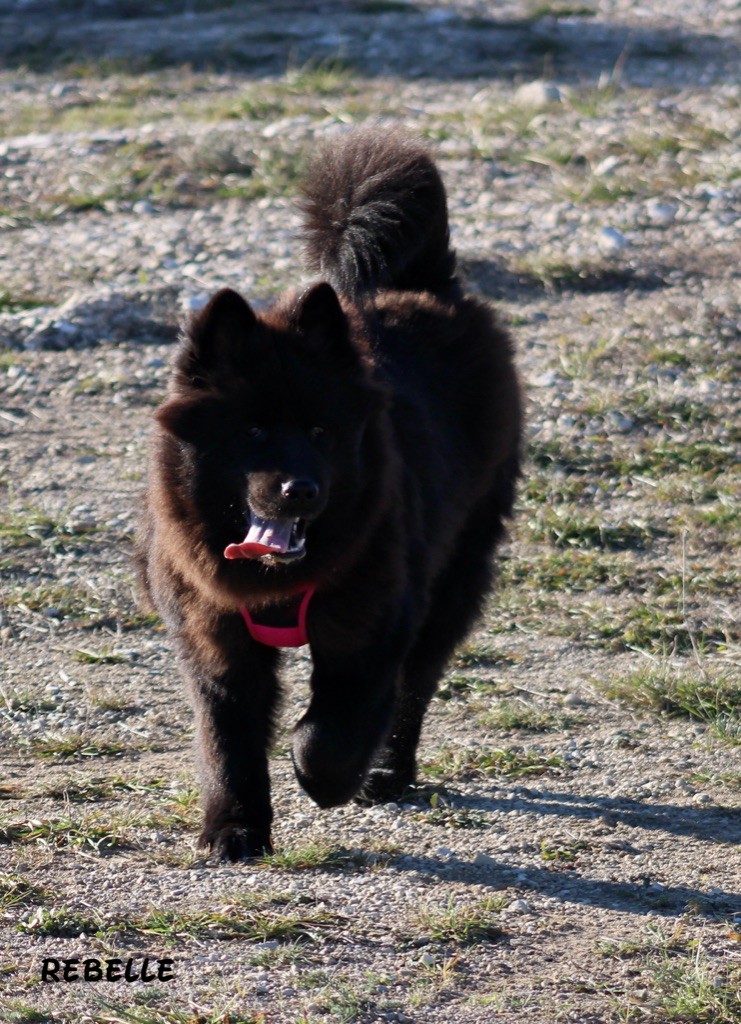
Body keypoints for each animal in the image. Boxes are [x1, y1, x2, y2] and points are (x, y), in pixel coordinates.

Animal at [137, 125, 521, 856]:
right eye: (254, 429)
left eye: (320, 430)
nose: (301, 489)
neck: (275, 582)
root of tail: (423, 286)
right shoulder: (215, 638)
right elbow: (226, 741)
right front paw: (234, 830)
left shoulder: (369, 626)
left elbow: (333, 729)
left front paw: (323, 780)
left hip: (456, 570)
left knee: (417, 682)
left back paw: (388, 774)